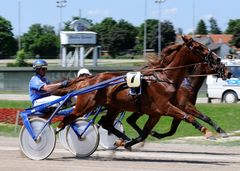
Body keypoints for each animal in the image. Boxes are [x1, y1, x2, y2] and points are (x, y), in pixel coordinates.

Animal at [55, 35, 230, 148]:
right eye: (200, 47)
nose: (226, 70)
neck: (166, 80)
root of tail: (88, 80)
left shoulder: (156, 113)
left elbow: (148, 132)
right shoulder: (170, 107)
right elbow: (190, 117)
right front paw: (208, 133)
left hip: (114, 106)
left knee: (106, 123)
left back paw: (123, 139)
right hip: (84, 106)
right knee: (67, 120)